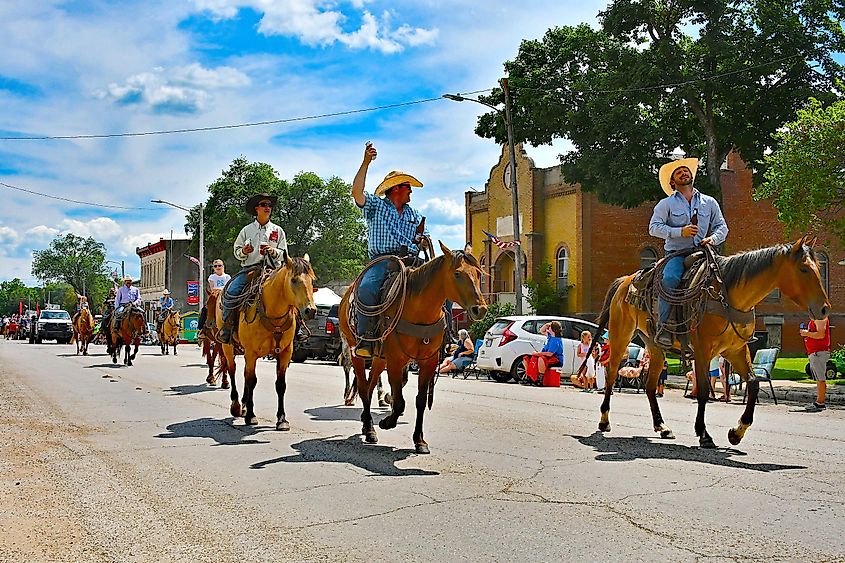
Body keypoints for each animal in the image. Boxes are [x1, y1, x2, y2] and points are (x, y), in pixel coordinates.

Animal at [216, 253, 318, 430]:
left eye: (312, 280)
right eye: (294, 280)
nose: (310, 310)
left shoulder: (285, 353)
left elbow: (280, 385)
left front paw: (282, 419)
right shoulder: (251, 352)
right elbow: (251, 381)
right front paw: (251, 416)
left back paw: (243, 405)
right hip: (227, 347)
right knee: (232, 370)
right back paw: (236, 406)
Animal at [338, 245, 488, 456]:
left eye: (478, 273)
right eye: (457, 273)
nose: (480, 309)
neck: (420, 312)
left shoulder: (428, 362)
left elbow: (420, 401)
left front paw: (420, 441)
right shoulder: (395, 360)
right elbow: (400, 401)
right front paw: (387, 422)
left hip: (379, 359)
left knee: (369, 385)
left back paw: (368, 427)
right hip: (355, 352)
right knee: (362, 385)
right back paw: (369, 428)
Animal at [592, 238, 828, 450]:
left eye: (819, 267)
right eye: (804, 269)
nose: (825, 309)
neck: (729, 297)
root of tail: (626, 280)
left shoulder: (735, 350)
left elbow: (753, 383)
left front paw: (737, 432)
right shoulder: (702, 351)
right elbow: (704, 390)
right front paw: (704, 434)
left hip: (655, 346)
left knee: (650, 385)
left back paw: (662, 427)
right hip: (620, 335)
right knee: (611, 373)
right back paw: (604, 421)